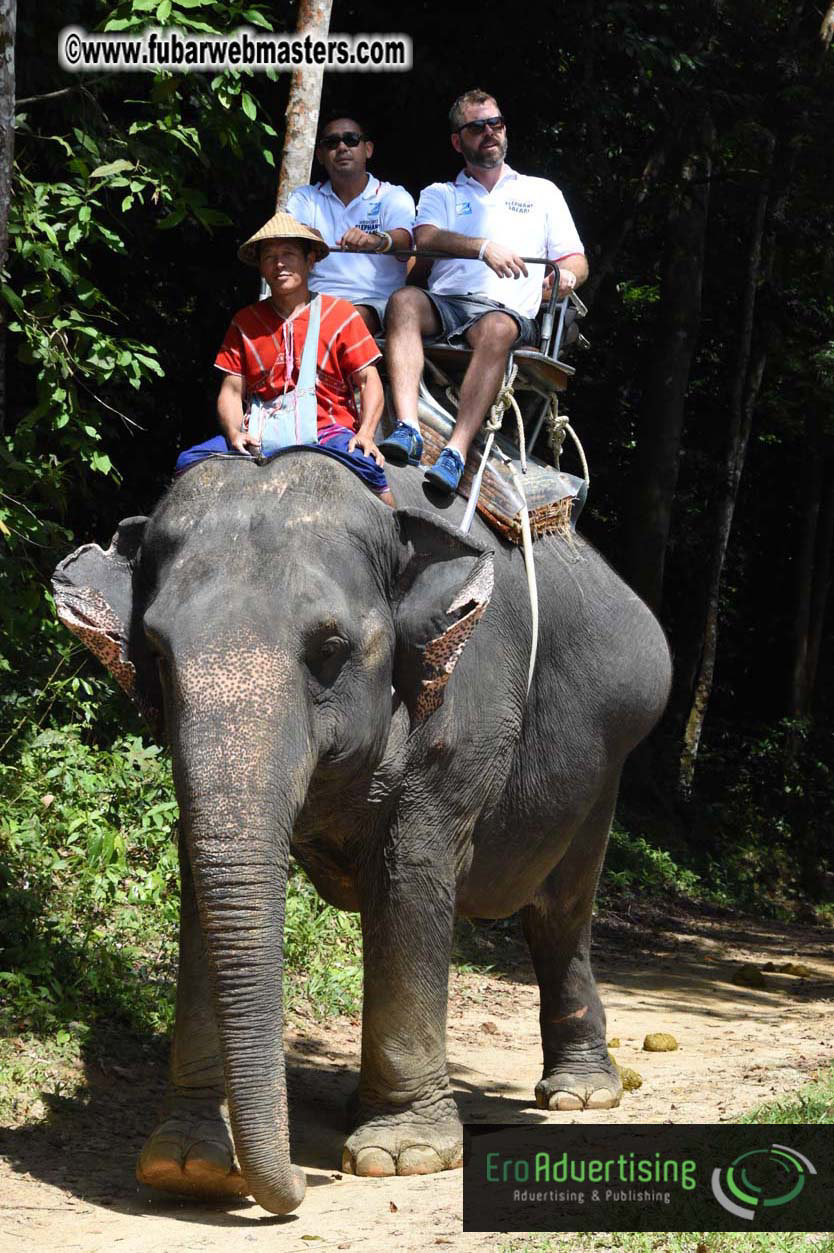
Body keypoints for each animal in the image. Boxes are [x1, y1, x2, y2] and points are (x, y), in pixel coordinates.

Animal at [52, 447, 671, 1216]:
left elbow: (410, 874)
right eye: (159, 655)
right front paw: (185, 1164)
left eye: (330, 649)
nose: (294, 1189)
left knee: (560, 912)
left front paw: (401, 1156)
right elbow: (203, 880)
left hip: (605, 763)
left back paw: (579, 1095)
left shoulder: (464, 713)